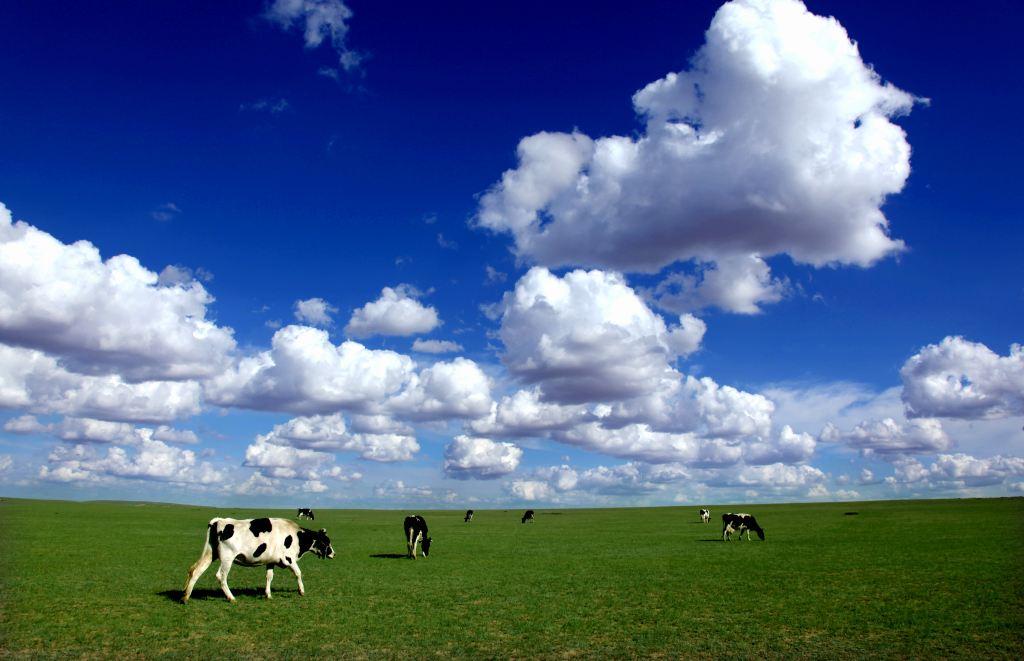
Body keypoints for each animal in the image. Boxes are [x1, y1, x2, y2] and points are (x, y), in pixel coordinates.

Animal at [179, 517, 331, 605]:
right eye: (326, 542)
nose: (333, 553)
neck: (296, 536)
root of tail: (218, 521)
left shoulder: (271, 561)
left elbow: (269, 577)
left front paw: (268, 594)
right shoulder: (289, 559)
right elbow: (298, 573)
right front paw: (301, 591)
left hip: (211, 553)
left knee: (196, 571)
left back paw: (185, 598)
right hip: (227, 558)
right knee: (221, 576)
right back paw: (231, 598)